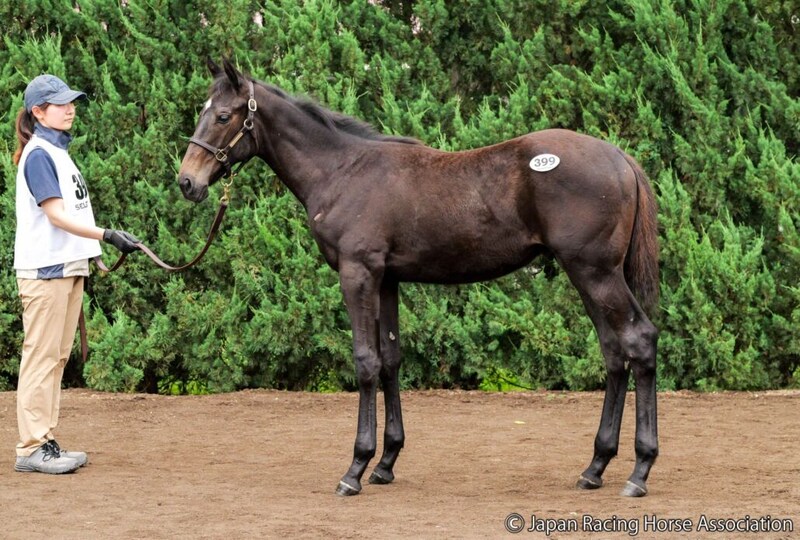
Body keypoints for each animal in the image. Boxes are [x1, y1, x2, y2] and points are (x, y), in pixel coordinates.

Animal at [178, 59, 660, 498]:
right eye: (204, 110)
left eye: (224, 116)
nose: (187, 182)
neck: (343, 171)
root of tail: (620, 158)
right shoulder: (387, 280)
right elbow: (391, 359)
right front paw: (386, 462)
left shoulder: (358, 273)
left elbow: (366, 362)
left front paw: (355, 468)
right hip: (589, 275)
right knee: (614, 351)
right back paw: (595, 467)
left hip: (593, 272)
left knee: (638, 340)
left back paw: (639, 472)